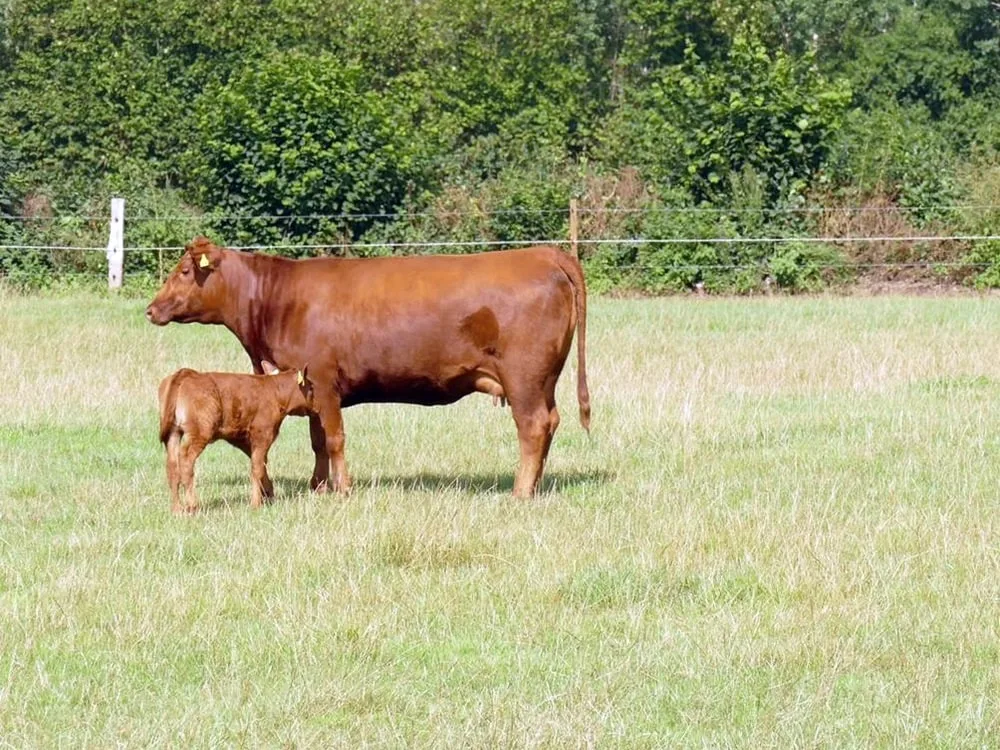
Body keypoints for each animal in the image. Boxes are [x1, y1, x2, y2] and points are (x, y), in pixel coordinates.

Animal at [145, 238, 588, 500]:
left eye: (184, 271)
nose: (151, 309)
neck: (277, 299)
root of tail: (542, 252)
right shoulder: (307, 388)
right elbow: (318, 441)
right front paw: (318, 487)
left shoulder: (324, 382)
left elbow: (335, 439)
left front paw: (342, 489)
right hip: (545, 379)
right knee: (550, 422)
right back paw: (535, 486)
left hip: (524, 378)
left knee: (532, 426)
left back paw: (520, 492)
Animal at [158, 362, 314, 516]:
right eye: (311, 387)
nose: (315, 407)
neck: (275, 391)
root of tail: (187, 374)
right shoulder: (262, 435)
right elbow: (257, 468)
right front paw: (255, 505)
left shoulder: (244, 439)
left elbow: (261, 464)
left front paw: (268, 496)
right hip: (199, 434)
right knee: (186, 462)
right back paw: (192, 506)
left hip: (173, 434)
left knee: (172, 466)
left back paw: (176, 509)